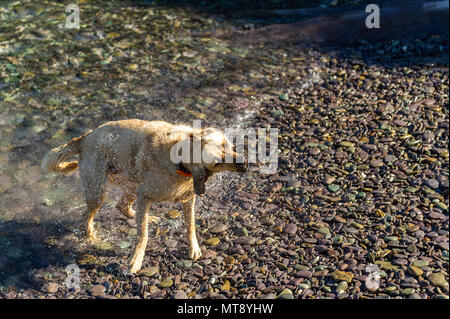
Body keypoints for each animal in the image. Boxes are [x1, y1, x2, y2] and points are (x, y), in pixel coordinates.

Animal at [41, 119, 246, 274]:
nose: (244, 162)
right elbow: (143, 235)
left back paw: (146, 217)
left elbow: (190, 226)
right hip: (98, 192)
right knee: (88, 216)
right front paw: (136, 260)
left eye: (227, 145)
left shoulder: (188, 199)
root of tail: (85, 137)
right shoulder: (146, 196)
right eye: (218, 162)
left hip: (131, 185)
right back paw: (91, 236)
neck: (179, 159)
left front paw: (194, 247)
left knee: (122, 206)